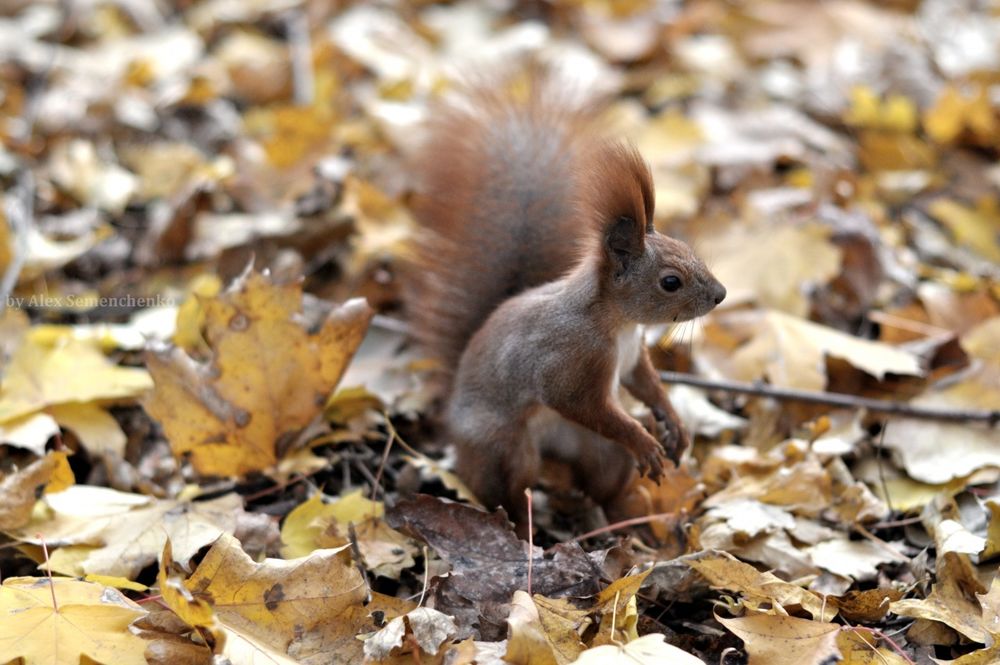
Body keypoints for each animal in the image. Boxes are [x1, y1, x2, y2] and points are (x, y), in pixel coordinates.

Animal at [407, 72, 726, 530]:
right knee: (508, 492)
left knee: (600, 483)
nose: (720, 295)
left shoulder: (632, 356)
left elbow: (644, 383)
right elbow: (577, 402)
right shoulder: (569, 362)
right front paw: (645, 441)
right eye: (670, 282)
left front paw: (673, 425)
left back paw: (616, 515)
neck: (617, 323)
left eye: (686, 248)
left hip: (599, 452)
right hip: (508, 449)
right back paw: (525, 526)